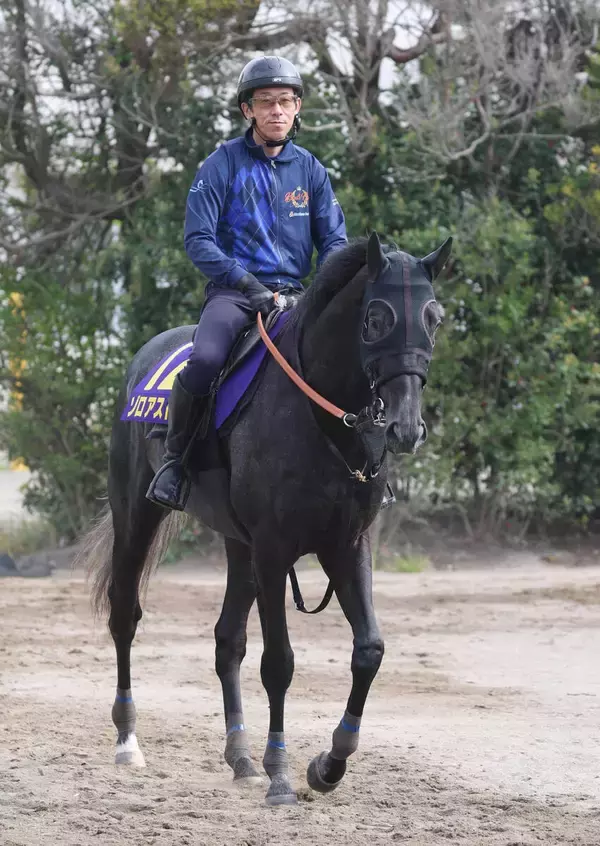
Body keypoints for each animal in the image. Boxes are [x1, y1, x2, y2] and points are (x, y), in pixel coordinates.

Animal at [81, 231, 451, 806]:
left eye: (434, 317)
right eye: (375, 319)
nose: (405, 427)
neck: (323, 419)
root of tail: (145, 356)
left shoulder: (346, 545)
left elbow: (368, 650)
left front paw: (329, 765)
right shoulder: (276, 550)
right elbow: (279, 663)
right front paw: (280, 774)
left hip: (240, 546)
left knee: (227, 641)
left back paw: (240, 757)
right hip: (136, 515)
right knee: (125, 614)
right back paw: (128, 742)